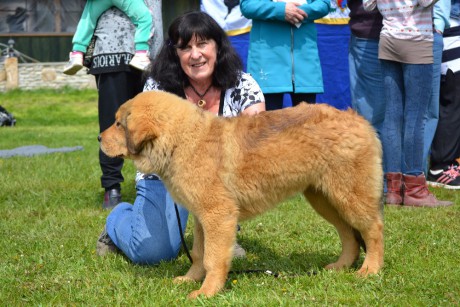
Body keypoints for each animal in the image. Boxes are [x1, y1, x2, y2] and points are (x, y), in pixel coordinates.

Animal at [99, 91, 384, 298]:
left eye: (118, 124)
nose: (99, 137)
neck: (183, 141)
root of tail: (359, 120)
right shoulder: (202, 217)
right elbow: (200, 253)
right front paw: (190, 279)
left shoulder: (218, 214)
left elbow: (213, 257)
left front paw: (206, 292)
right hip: (323, 197)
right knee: (348, 234)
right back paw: (340, 267)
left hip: (350, 194)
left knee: (373, 229)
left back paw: (370, 270)